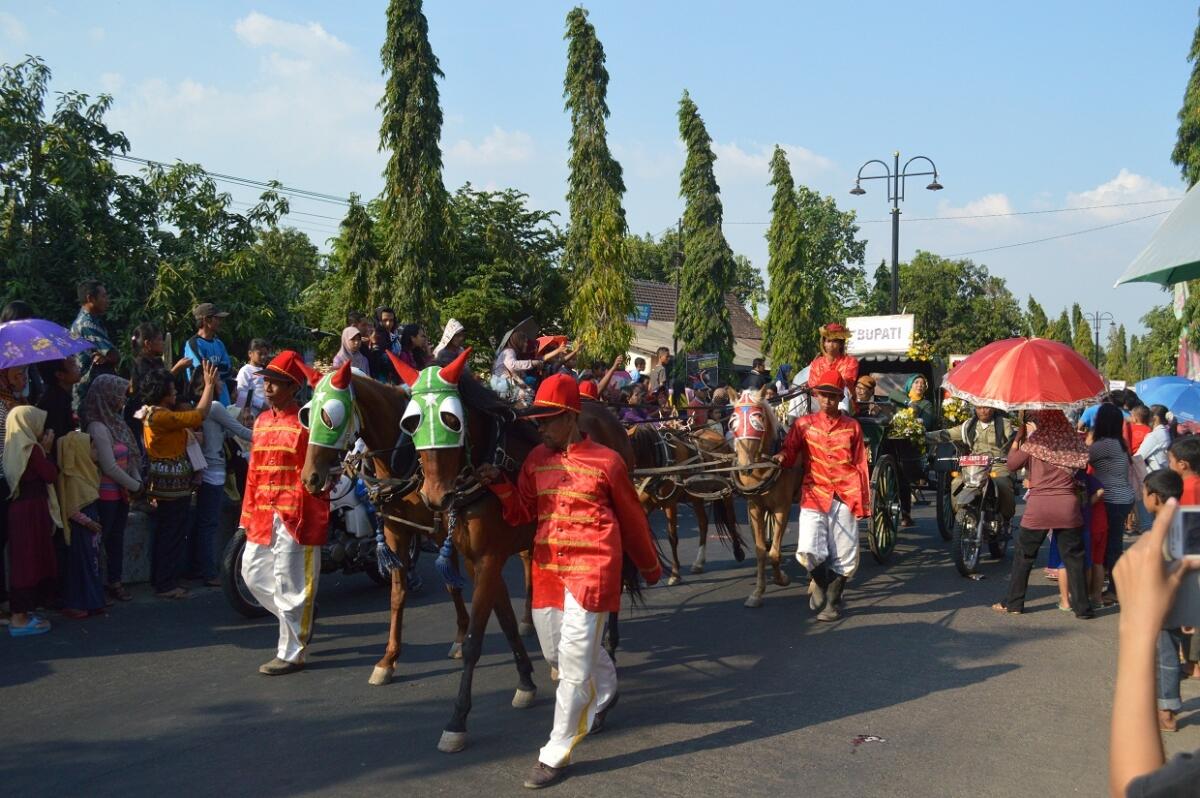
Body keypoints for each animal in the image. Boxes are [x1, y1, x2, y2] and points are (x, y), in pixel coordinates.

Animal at [729, 388, 796, 607]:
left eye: (757, 420)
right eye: (732, 422)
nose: (744, 467)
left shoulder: (783, 507)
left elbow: (774, 553)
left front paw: (781, 578)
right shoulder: (755, 507)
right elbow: (760, 551)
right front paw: (758, 592)